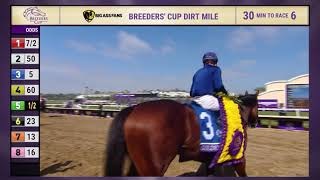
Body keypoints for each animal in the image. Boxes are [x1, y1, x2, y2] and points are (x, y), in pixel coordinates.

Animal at [106, 93, 258, 176]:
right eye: (259, 105)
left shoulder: (210, 158)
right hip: (153, 166)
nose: (256, 121)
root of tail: (134, 108)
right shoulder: (239, 156)